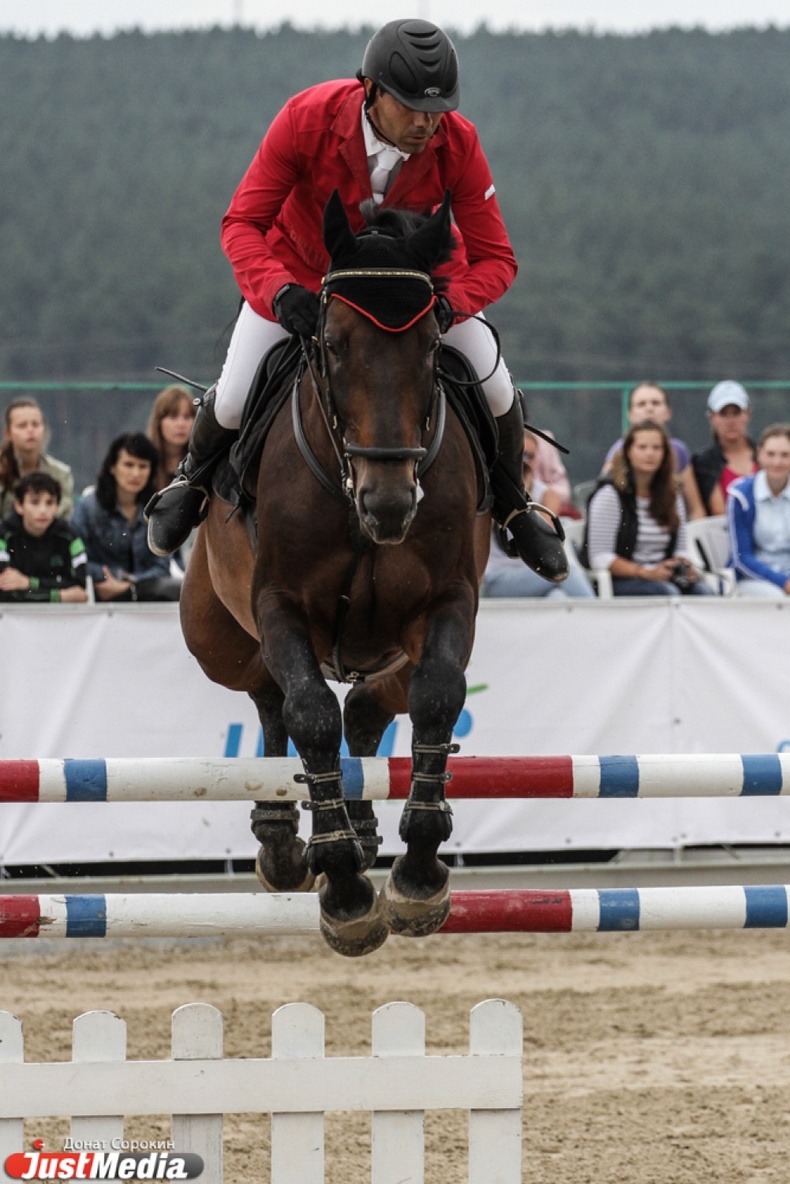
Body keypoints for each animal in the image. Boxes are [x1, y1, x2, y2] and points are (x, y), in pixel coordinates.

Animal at [180, 190, 491, 956]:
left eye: (432, 346)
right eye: (333, 344)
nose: (391, 502)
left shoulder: (449, 604)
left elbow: (438, 697)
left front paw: (417, 876)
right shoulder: (280, 605)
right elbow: (309, 714)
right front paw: (346, 890)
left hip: (389, 651)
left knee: (372, 706)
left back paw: (360, 825)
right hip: (217, 638)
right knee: (272, 695)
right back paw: (288, 841)